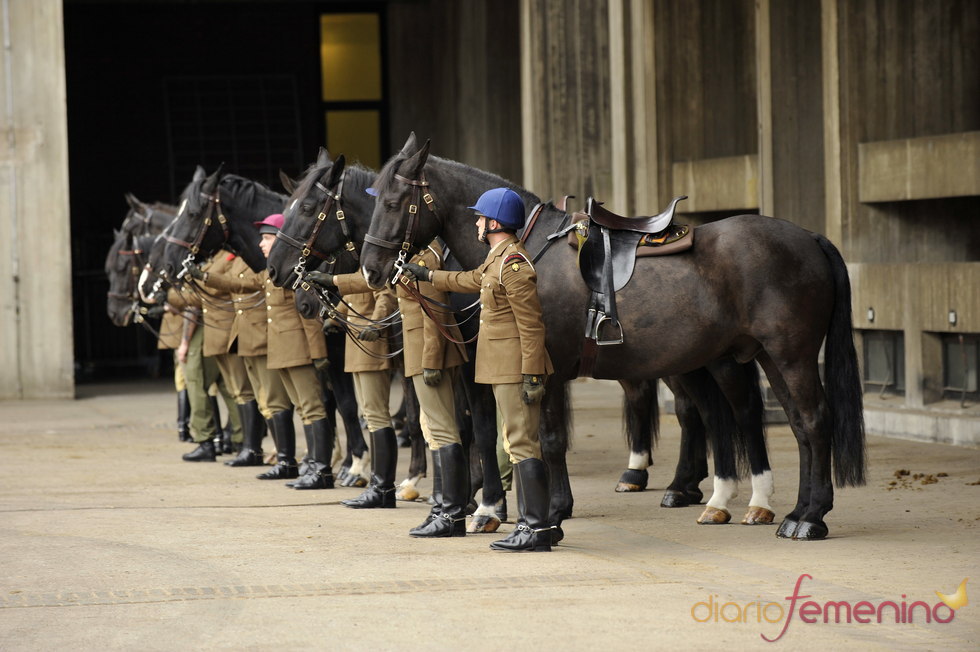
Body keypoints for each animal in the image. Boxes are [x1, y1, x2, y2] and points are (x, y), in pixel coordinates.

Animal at [359, 136, 866, 540]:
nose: (371, 270)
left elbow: (547, 439)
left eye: (393, 202)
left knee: (810, 420)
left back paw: (808, 517)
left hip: (789, 355)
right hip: (763, 356)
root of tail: (810, 238)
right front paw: (526, 510)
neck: (527, 249)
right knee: (790, 424)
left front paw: (546, 515)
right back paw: (791, 509)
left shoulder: (543, 369)